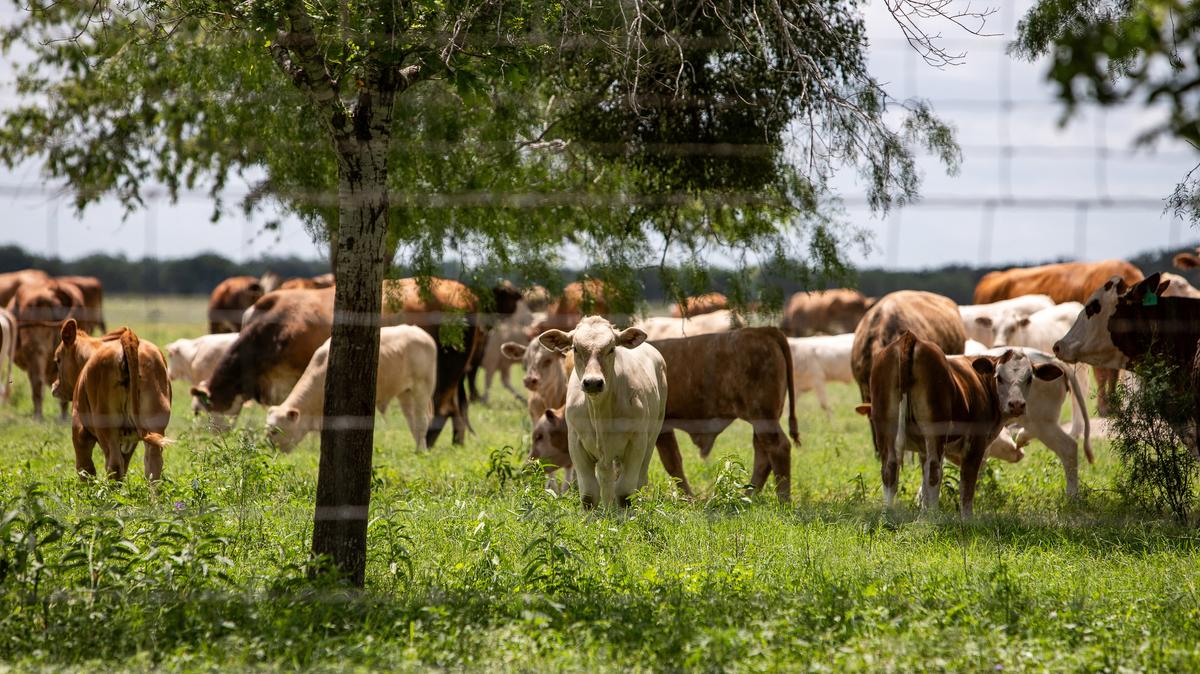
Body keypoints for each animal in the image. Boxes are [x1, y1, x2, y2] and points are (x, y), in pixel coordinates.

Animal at [50, 320, 171, 481]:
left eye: (58, 360)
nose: (55, 386)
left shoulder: (79, 431)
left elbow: (85, 469)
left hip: (106, 427)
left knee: (113, 464)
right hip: (155, 425)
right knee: (153, 463)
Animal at [265, 325, 437, 453]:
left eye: (275, 431)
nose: (270, 450)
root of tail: (422, 333)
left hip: (422, 388)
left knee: (422, 421)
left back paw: (422, 452)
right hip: (405, 393)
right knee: (412, 420)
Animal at [538, 316, 667, 508]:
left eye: (611, 348)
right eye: (575, 348)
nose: (593, 382)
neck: (600, 413)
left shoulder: (637, 443)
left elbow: (625, 493)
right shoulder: (576, 444)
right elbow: (589, 495)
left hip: (652, 435)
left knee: (640, 479)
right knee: (607, 480)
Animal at [857, 332, 1063, 516]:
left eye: (1029, 378)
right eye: (999, 377)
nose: (1017, 405)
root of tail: (910, 339)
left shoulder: (922, 448)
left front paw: (922, 511)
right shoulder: (976, 443)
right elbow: (967, 485)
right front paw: (967, 520)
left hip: (886, 431)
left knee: (890, 470)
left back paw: (889, 515)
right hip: (935, 431)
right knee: (935, 473)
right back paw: (932, 519)